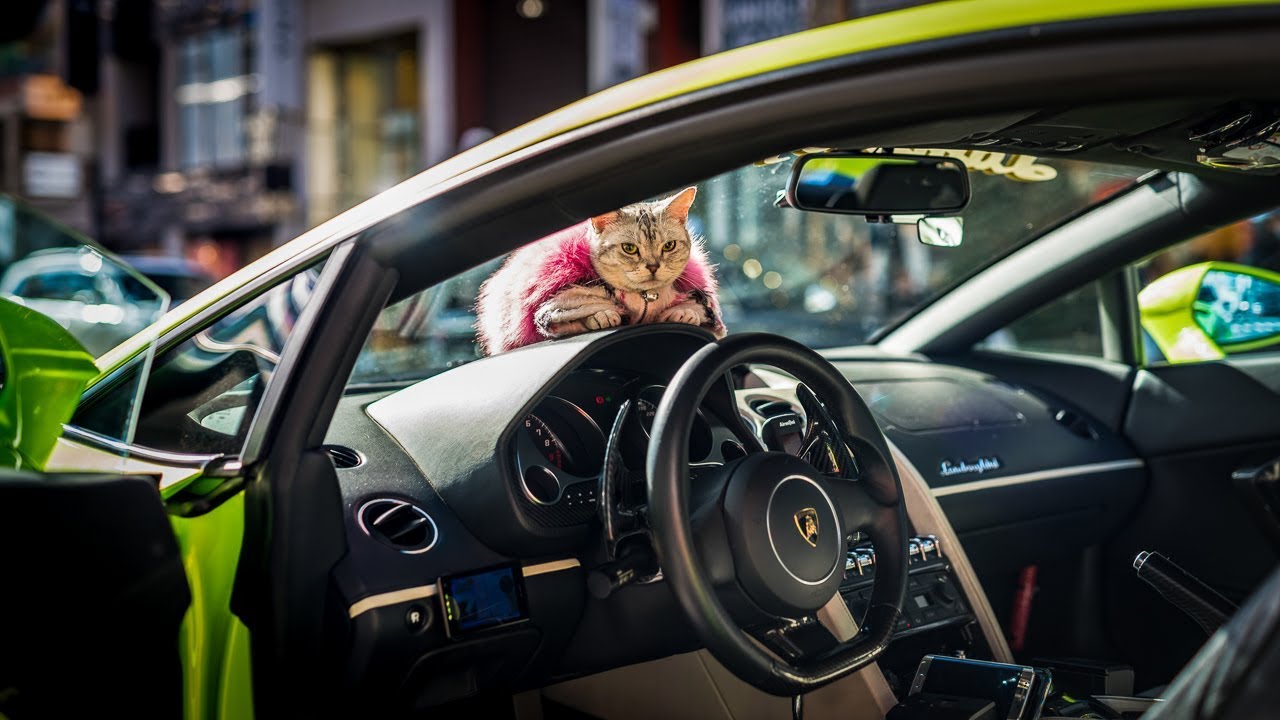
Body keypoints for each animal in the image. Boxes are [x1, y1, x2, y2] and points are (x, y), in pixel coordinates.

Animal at [476, 184, 727, 353]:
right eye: (629, 248)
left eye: (669, 246)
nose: (654, 266)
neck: (644, 299)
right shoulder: (556, 304)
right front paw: (603, 314)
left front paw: (685, 311)